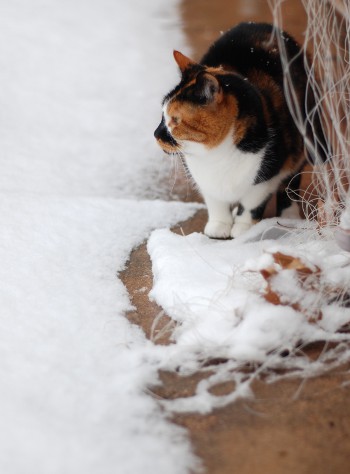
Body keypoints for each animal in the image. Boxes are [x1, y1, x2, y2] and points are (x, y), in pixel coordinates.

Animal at [154, 21, 326, 237]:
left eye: (175, 120)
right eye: (162, 115)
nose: (156, 134)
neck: (215, 156)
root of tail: (263, 24)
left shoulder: (265, 176)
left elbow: (252, 203)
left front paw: (243, 228)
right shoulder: (204, 179)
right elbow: (215, 201)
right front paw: (219, 225)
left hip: (302, 138)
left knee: (291, 183)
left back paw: (289, 215)